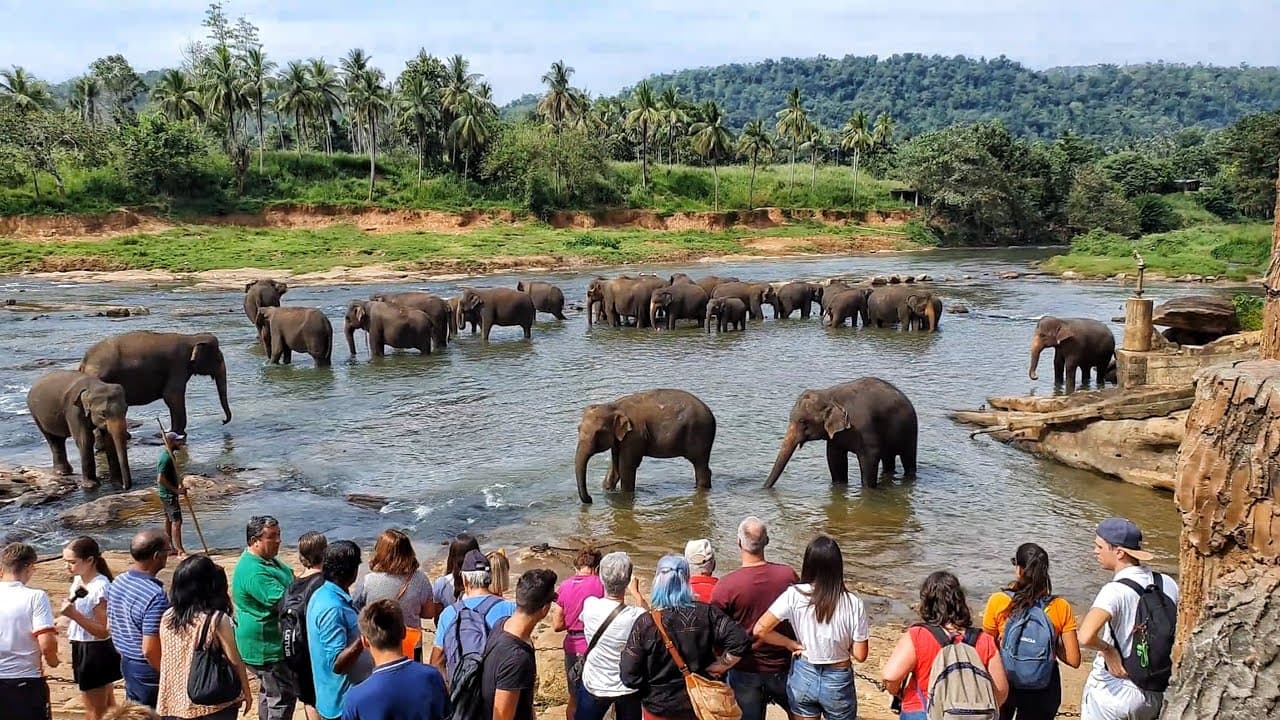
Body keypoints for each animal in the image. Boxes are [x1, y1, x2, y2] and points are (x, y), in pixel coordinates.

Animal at [80, 331, 232, 438]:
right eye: (219, 359)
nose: (223, 421)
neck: (192, 338)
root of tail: (84, 361)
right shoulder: (178, 365)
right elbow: (171, 395)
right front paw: (177, 433)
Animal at [575, 389, 717, 503]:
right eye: (578, 428)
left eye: (598, 433)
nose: (590, 499)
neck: (613, 406)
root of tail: (711, 413)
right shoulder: (620, 440)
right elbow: (615, 468)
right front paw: (608, 491)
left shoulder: (634, 436)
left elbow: (626, 467)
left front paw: (624, 498)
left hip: (700, 434)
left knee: (700, 466)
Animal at [764, 377, 918, 489]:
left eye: (802, 421)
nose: (764, 488)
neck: (828, 394)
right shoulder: (835, 437)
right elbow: (834, 458)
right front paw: (839, 487)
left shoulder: (865, 428)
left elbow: (870, 457)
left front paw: (868, 489)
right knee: (888, 460)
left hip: (910, 431)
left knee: (908, 459)